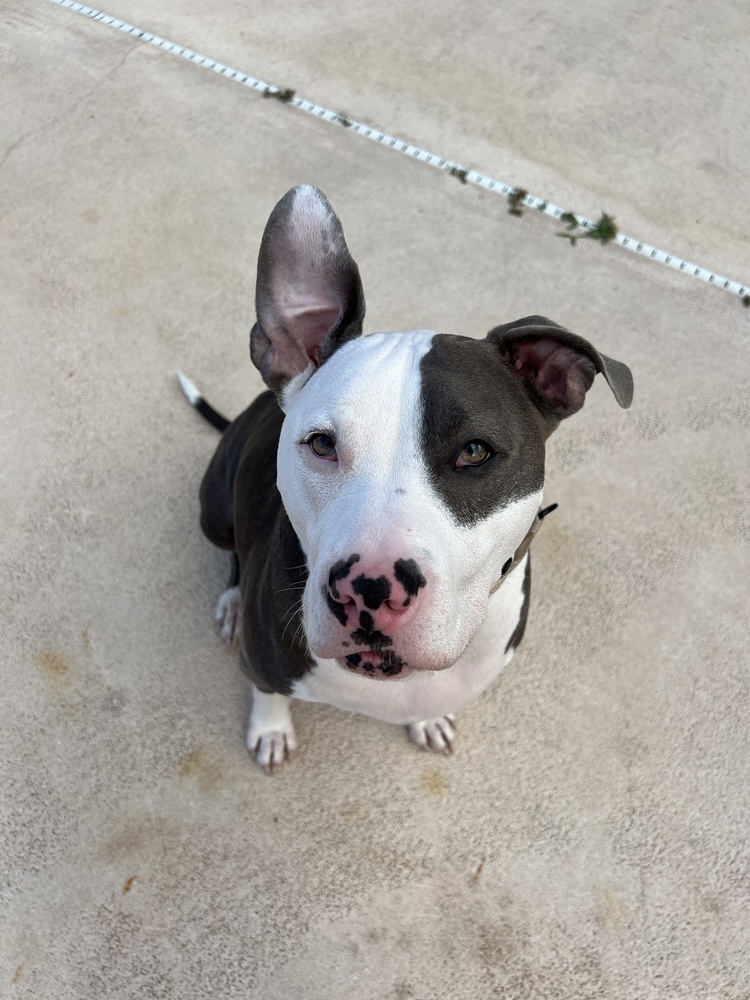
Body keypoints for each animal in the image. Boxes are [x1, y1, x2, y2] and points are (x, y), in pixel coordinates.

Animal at [181, 184, 636, 772]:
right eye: (322, 444)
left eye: (474, 452)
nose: (370, 589)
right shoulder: (263, 662)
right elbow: (267, 690)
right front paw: (271, 729)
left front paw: (428, 718)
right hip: (214, 508)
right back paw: (233, 605)